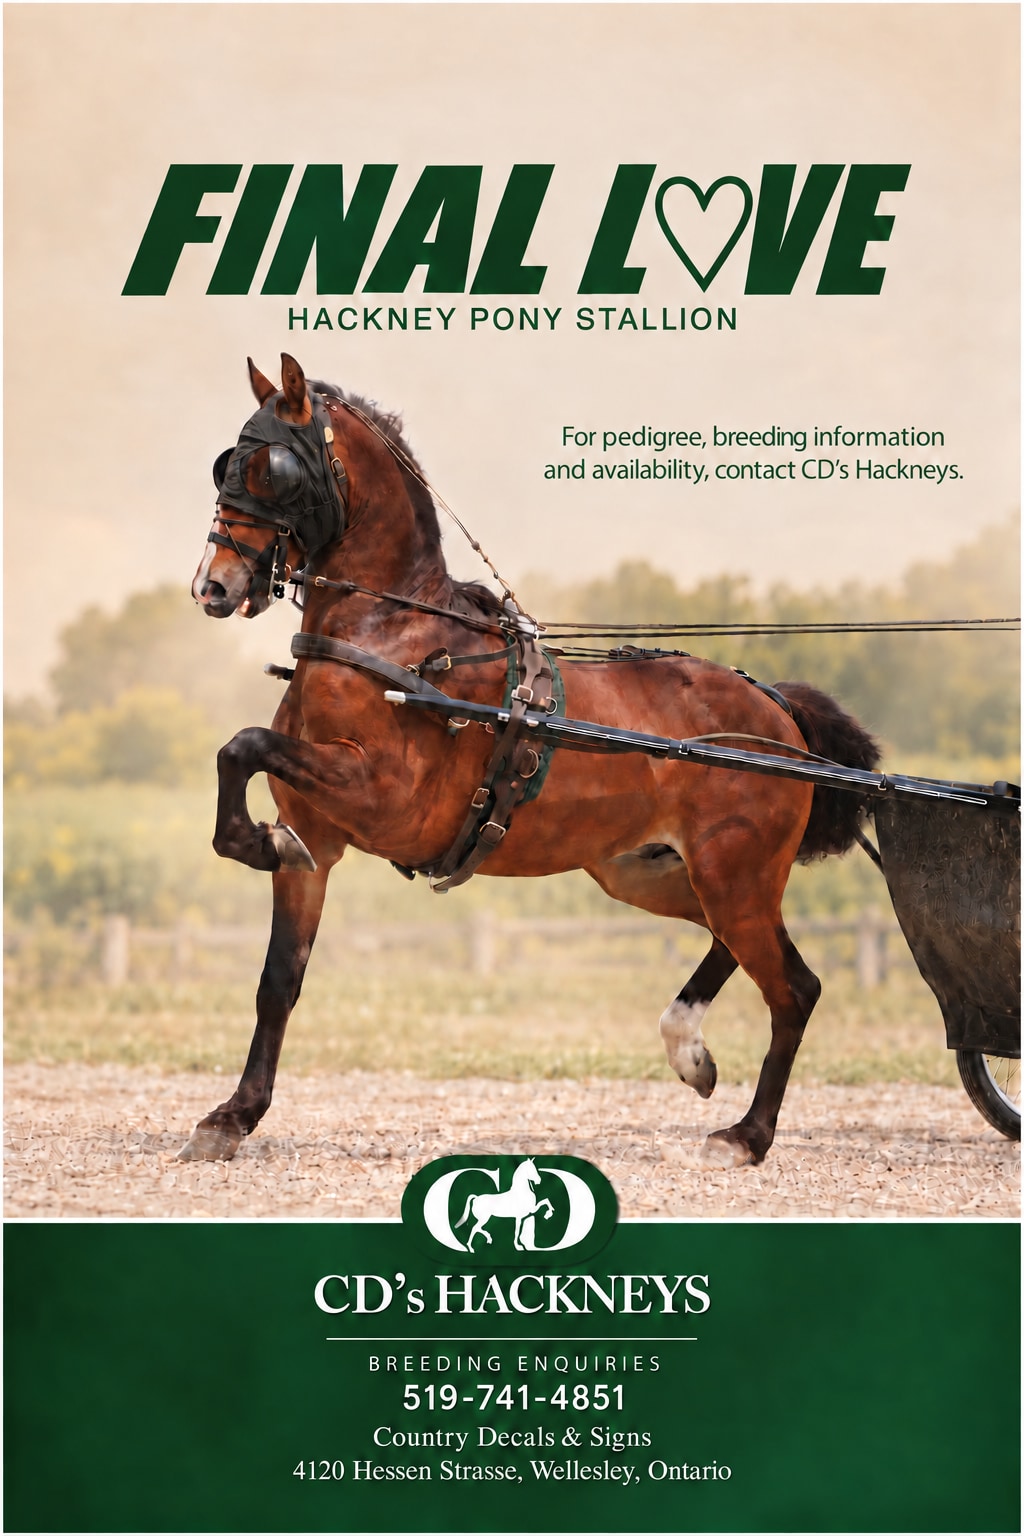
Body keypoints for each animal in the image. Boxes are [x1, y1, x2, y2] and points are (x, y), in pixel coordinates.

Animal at [187, 353, 879, 1169]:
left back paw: (747, 1135)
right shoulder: (320, 847)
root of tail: (775, 710)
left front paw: (254, 839)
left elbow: (245, 745)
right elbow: (277, 982)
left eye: (271, 468)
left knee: (794, 988)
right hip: (650, 874)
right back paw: (689, 1049)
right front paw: (233, 1116)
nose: (213, 586)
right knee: (743, 951)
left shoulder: (387, 800)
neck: (394, 637)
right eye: (225, 463)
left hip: (730, 876)